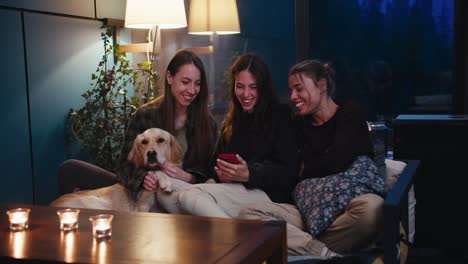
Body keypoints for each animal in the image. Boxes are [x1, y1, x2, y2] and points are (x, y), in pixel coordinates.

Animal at [50, 128, 183, 212]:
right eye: (144, 142)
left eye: (161, 140)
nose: (150, 154)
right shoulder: (141, 208)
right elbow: (156, 170)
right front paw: (165, 181)